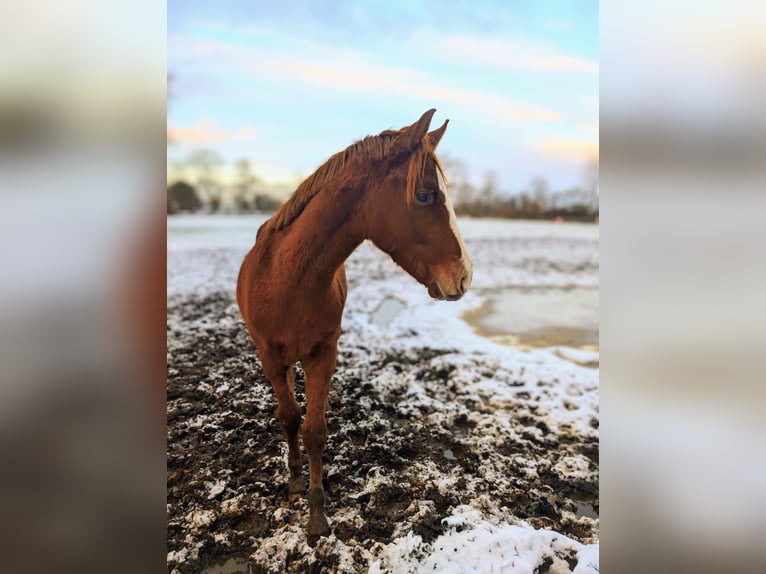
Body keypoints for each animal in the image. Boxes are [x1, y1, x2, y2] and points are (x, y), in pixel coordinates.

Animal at [237, 108, 472, 544]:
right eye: (424, 195)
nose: (463, 277)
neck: (288, 279)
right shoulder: (270, 357)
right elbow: (289, 418)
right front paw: (295, 482)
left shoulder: (323, 354)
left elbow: (314, 429)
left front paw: (316, 515)